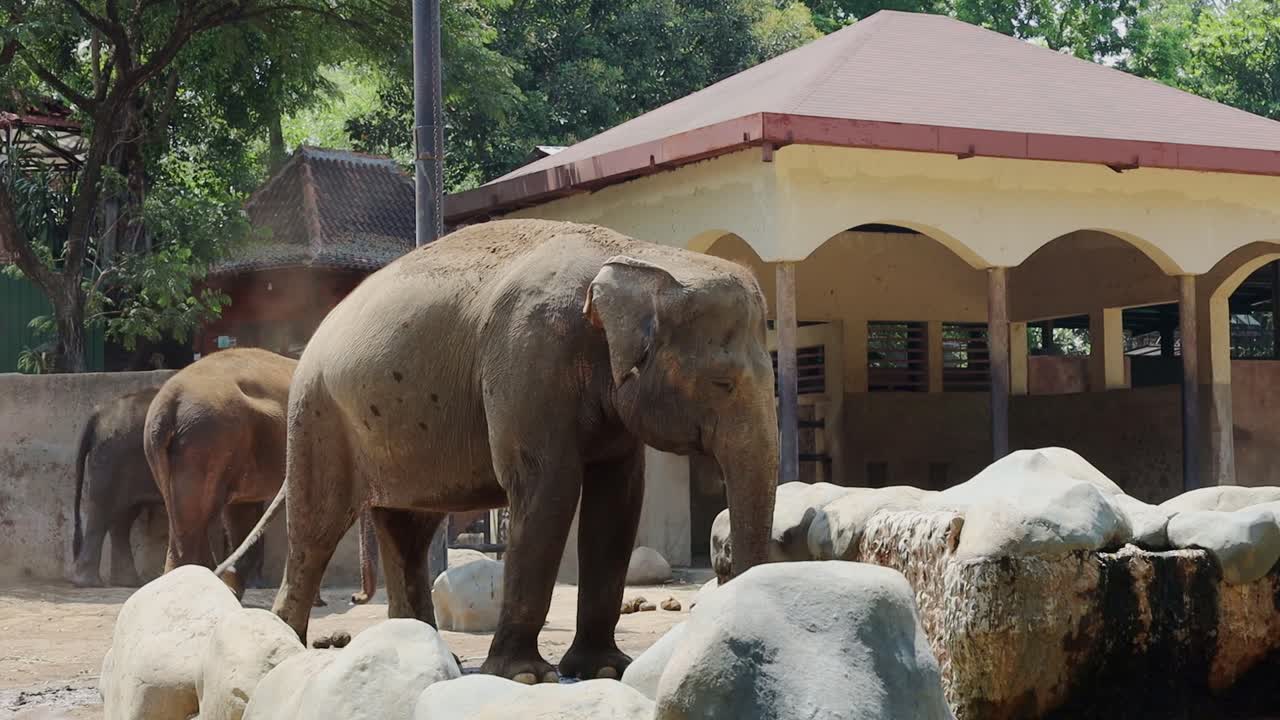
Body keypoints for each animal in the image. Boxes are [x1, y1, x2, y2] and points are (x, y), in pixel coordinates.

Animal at [145, 348, 378, 604]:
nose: (355, 597)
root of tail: (169, 403)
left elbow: (243, 513)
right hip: (209, 441)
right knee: (195, 524)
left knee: (186, 522)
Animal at [218, 218, 779, 683]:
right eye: (723, 383)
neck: (635, 254)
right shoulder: (529, 355)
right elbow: (548, 487)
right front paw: (527, 676)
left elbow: (619, 501)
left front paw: (602, 669)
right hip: (317, 415)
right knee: (316, 528)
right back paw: (289, 649)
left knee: (407, 531)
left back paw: (426, 651)